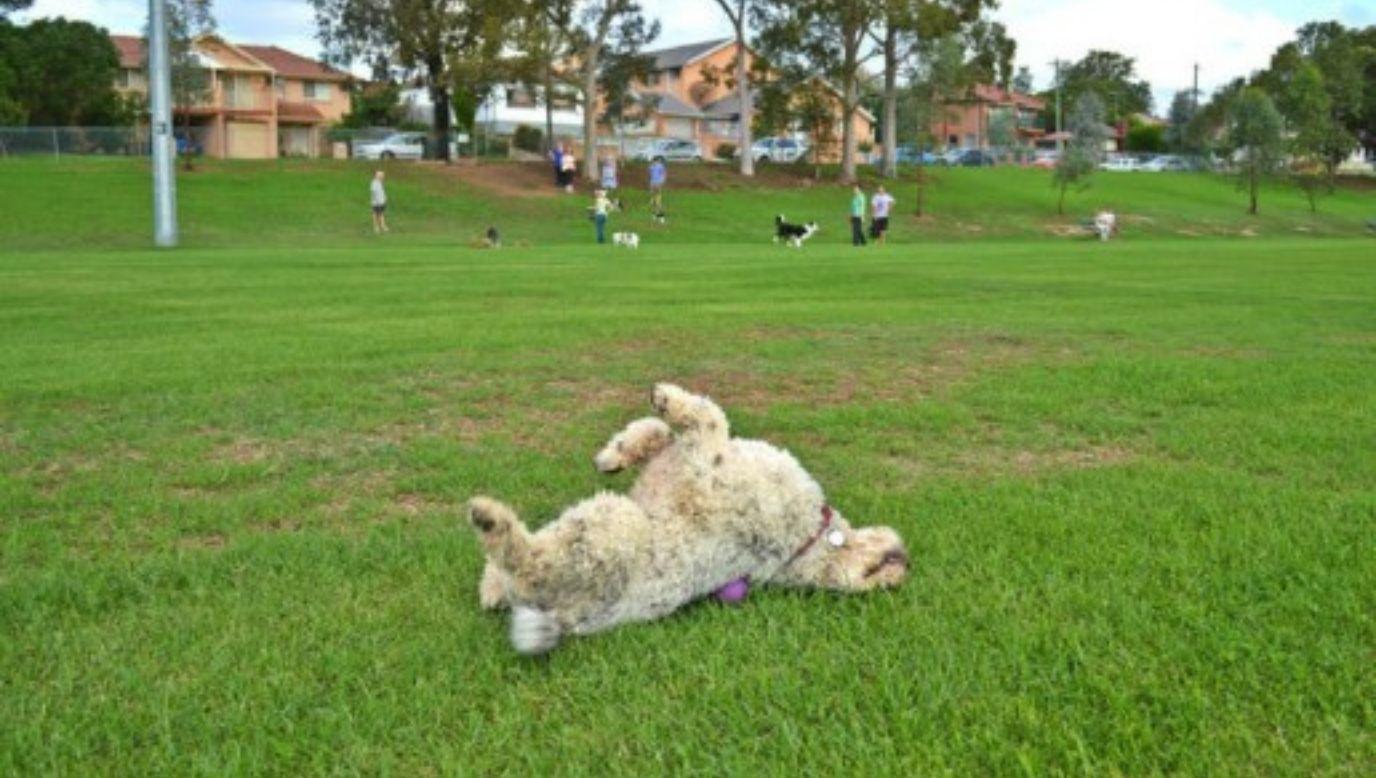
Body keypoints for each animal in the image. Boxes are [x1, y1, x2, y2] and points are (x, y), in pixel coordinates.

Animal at [467, 382, 908, 655]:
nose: (905, 563)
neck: (809, 541)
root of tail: (560, 619)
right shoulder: (681, 461)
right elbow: (661, 431)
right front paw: (616, 453)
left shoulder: (706, 467)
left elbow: (708, 416)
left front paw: (666, 398)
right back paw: (491, 583)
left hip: (611, 524)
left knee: (525, 559)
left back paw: (491, 520)